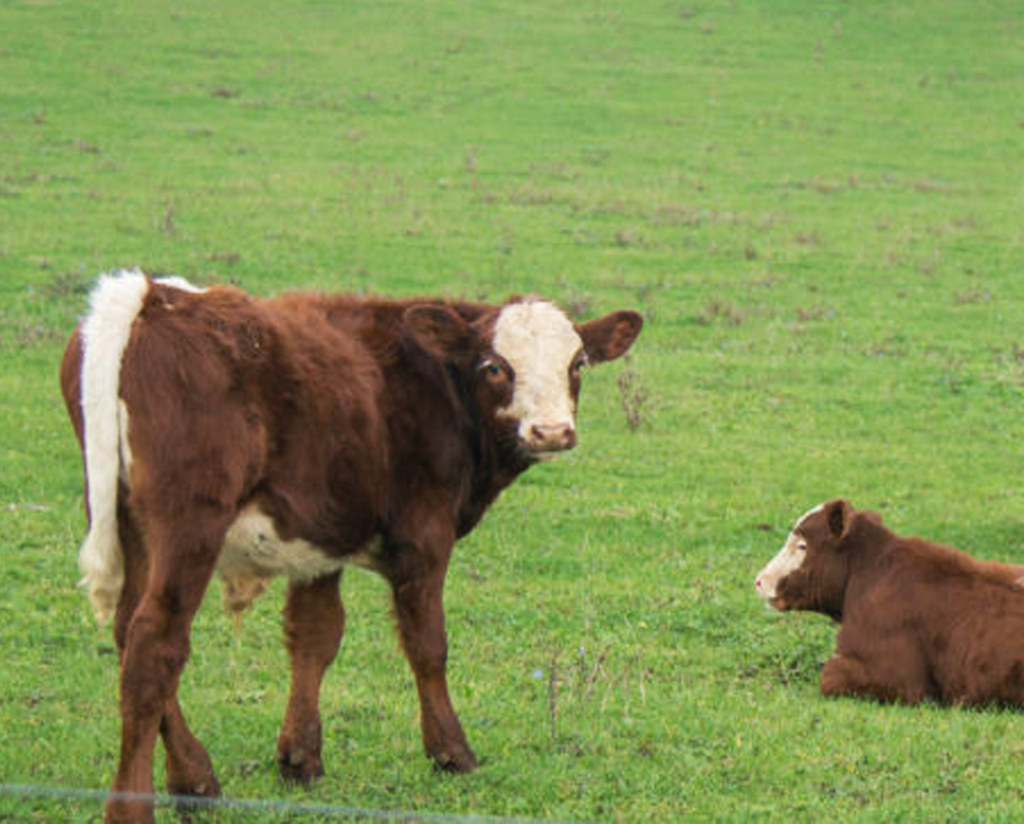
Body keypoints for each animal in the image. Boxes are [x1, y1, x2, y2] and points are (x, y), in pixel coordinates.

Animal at [59, 268, 638, 814]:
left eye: (577, 363)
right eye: (495, 366)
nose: (551, 431)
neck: (434, 384)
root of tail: (154, 297)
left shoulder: (321, 539)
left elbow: (315, 637)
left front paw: (300, 758)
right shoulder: (424, 536)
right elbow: (428, 644)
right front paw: (450, 752)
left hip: (132, 525)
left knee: (126, 630)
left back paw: (196, 778)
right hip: (189, 526)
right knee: (155, 646)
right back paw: (136, 804)